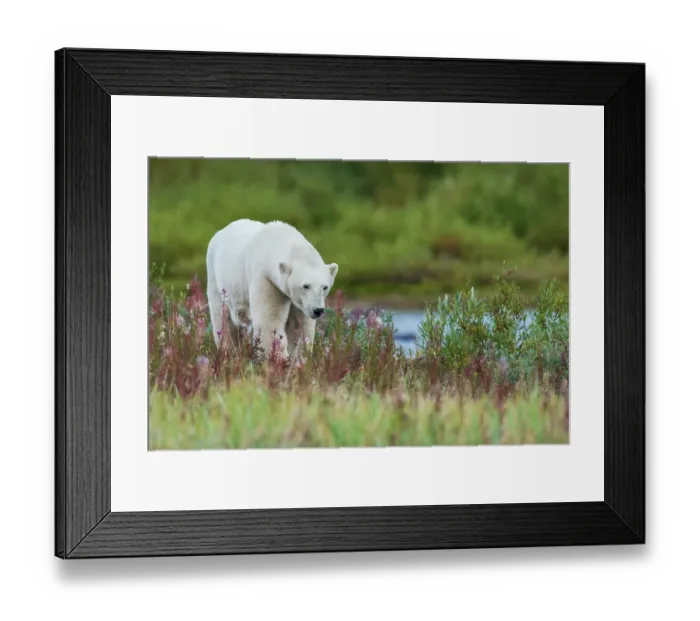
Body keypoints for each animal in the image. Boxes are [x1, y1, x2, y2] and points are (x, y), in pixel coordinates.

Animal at [206, 219, 338, 360]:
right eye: (305, 285)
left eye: (325, 287)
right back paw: (228, 352)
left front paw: (300, 358)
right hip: (216, 277)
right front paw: (279, 358)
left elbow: (300, 325)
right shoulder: (266, 279)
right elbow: (269, 320)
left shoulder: (299, 302)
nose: (318, 310)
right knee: (223, 319)